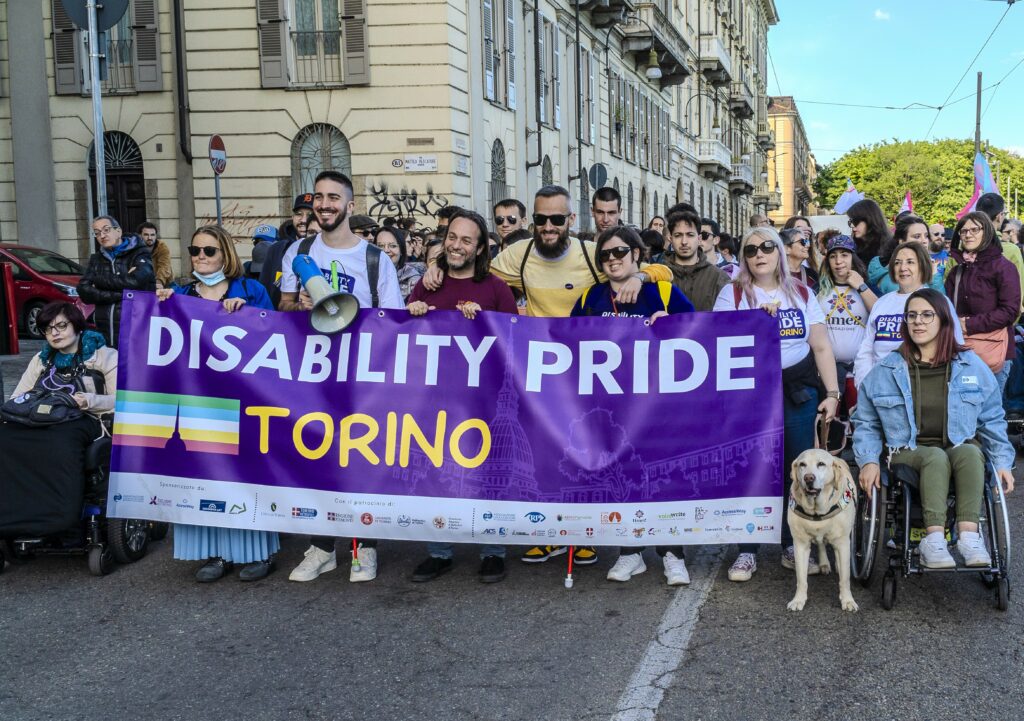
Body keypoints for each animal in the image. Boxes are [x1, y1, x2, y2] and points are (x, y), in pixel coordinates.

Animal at [786, 448, 860, 610]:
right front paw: (798, 599)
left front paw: (848, 600)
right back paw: (824, 564)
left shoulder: (843, 543)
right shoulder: (800, 544)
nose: (808, 478)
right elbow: (801, 578)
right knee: (821, 544)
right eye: (802, 464)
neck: (817, 510)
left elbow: (845, 578)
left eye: (821, 464)